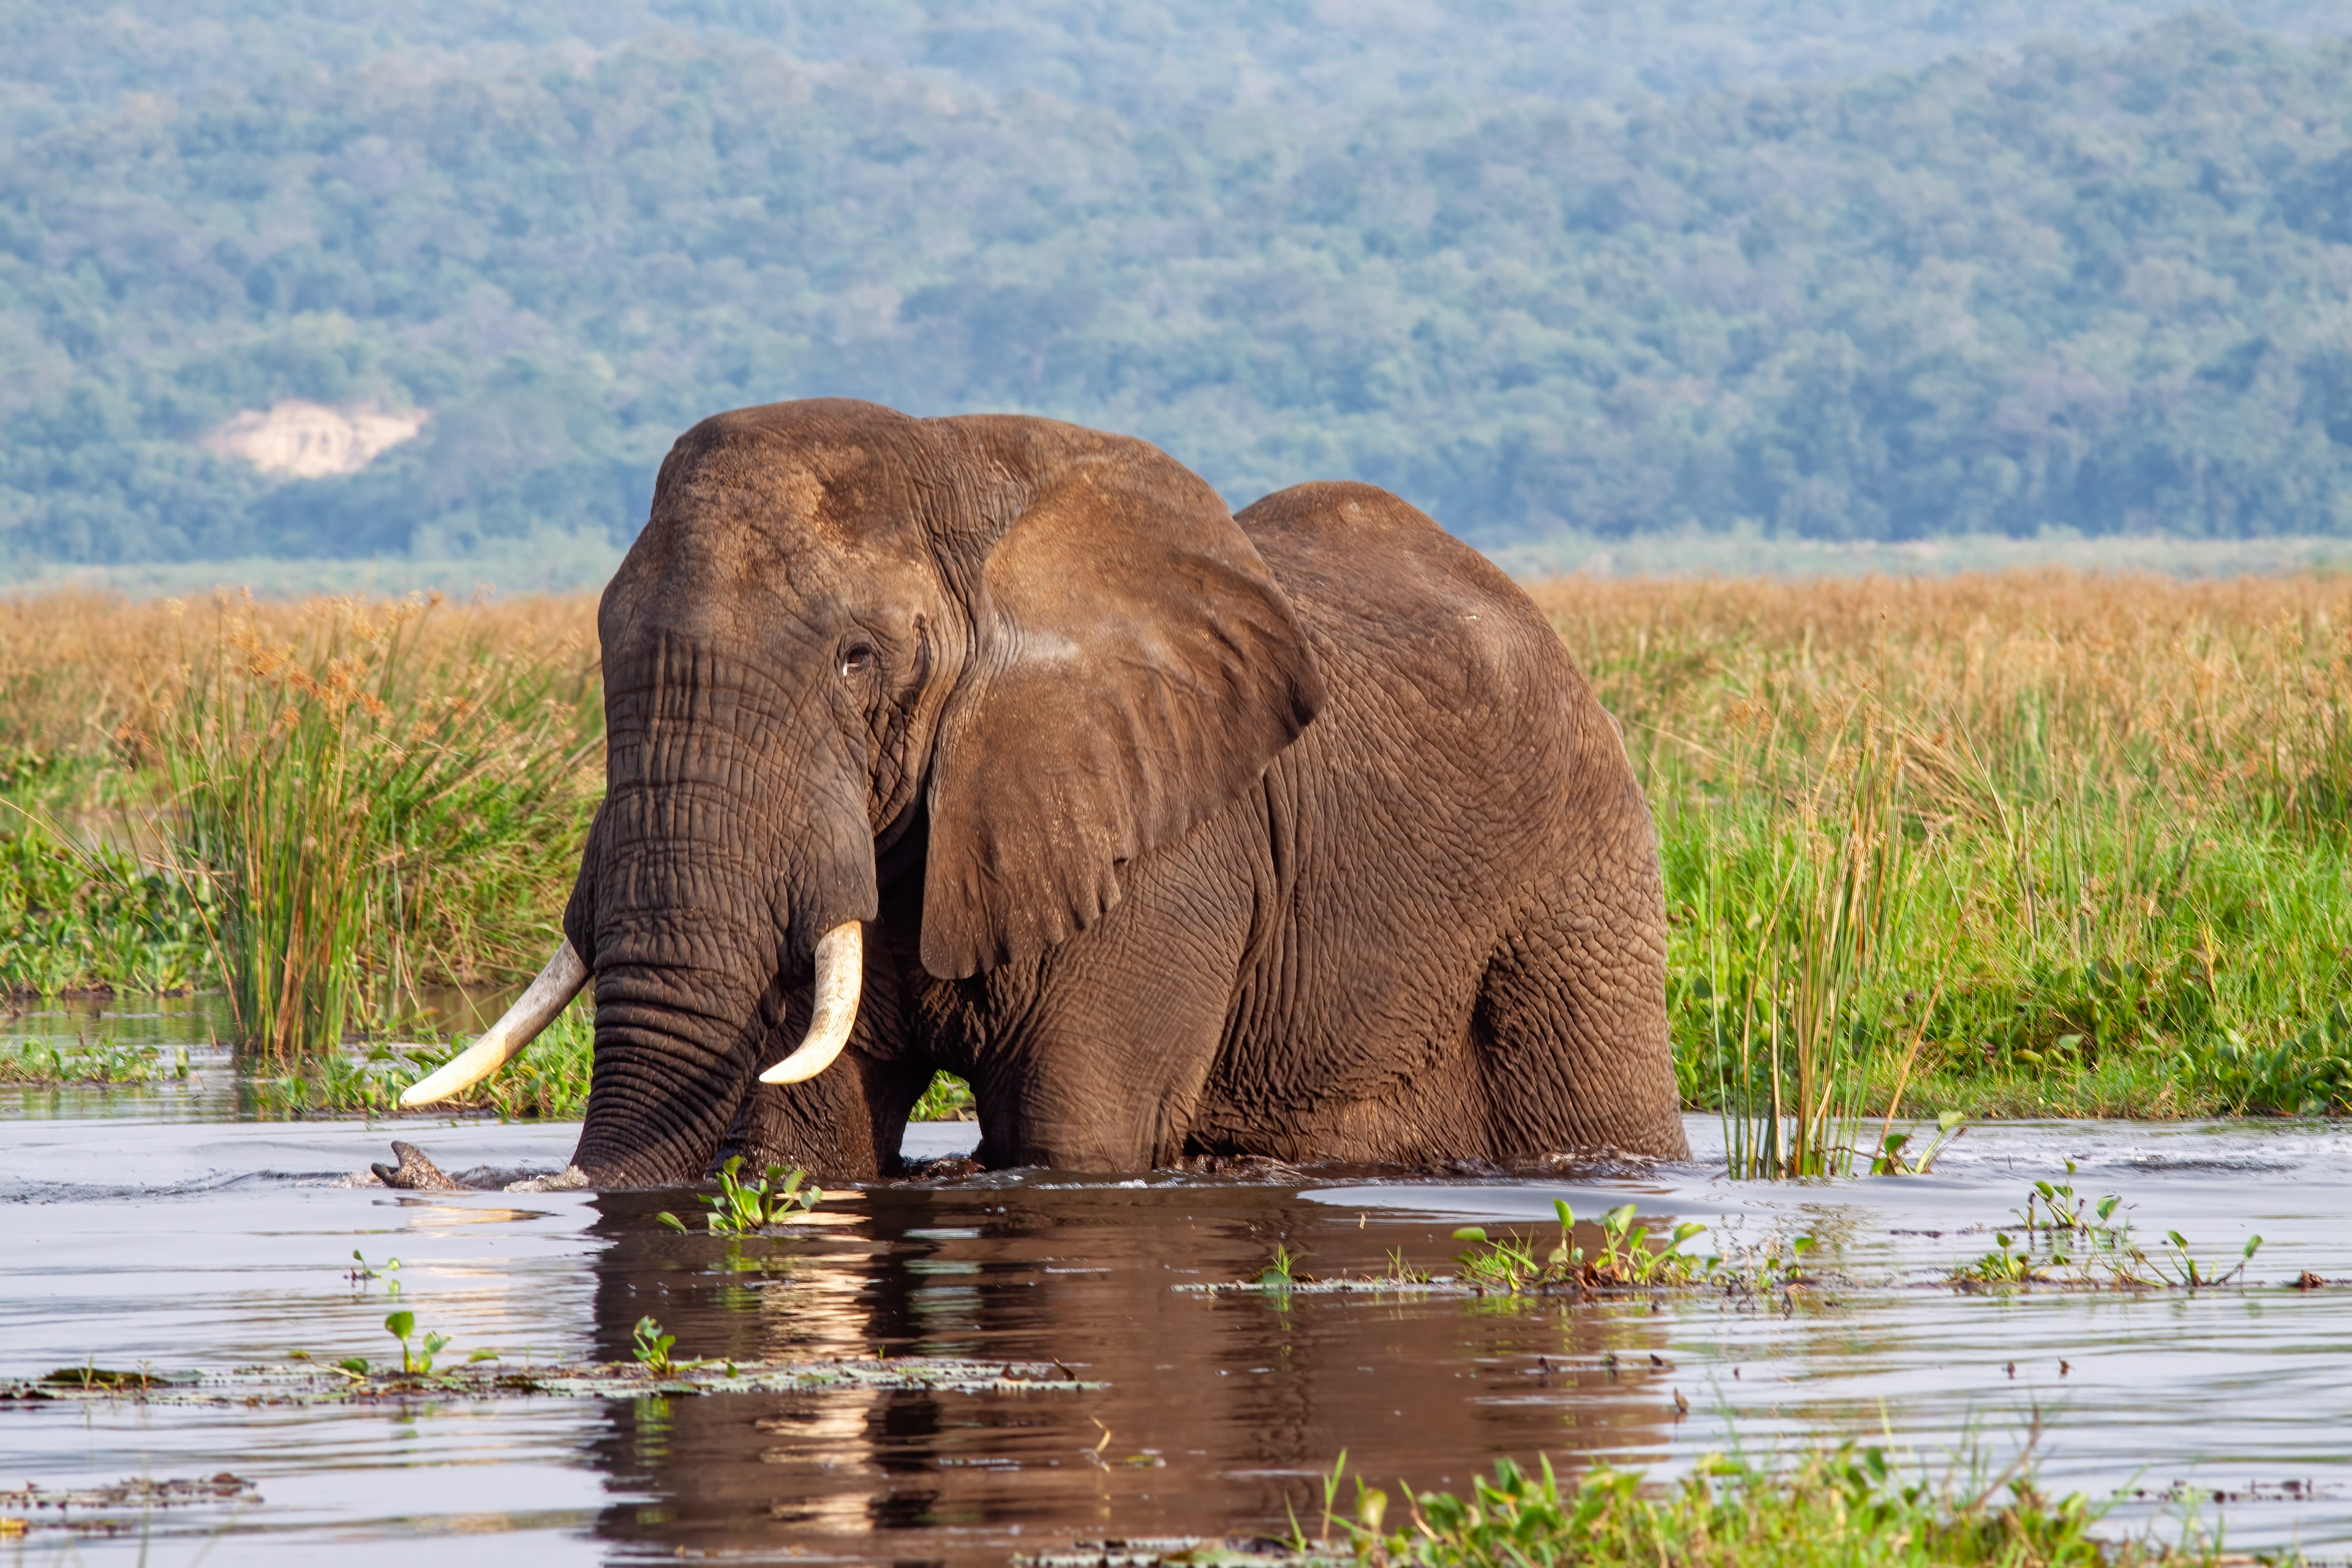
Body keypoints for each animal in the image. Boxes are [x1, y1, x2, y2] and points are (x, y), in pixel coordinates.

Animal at [392, 399, 1687, 1187]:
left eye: (857, 660)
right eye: (603, 645)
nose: (398, 1165)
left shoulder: (1171, 846)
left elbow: (1079, 1136)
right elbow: (814, 1135)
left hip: (1578, 880)